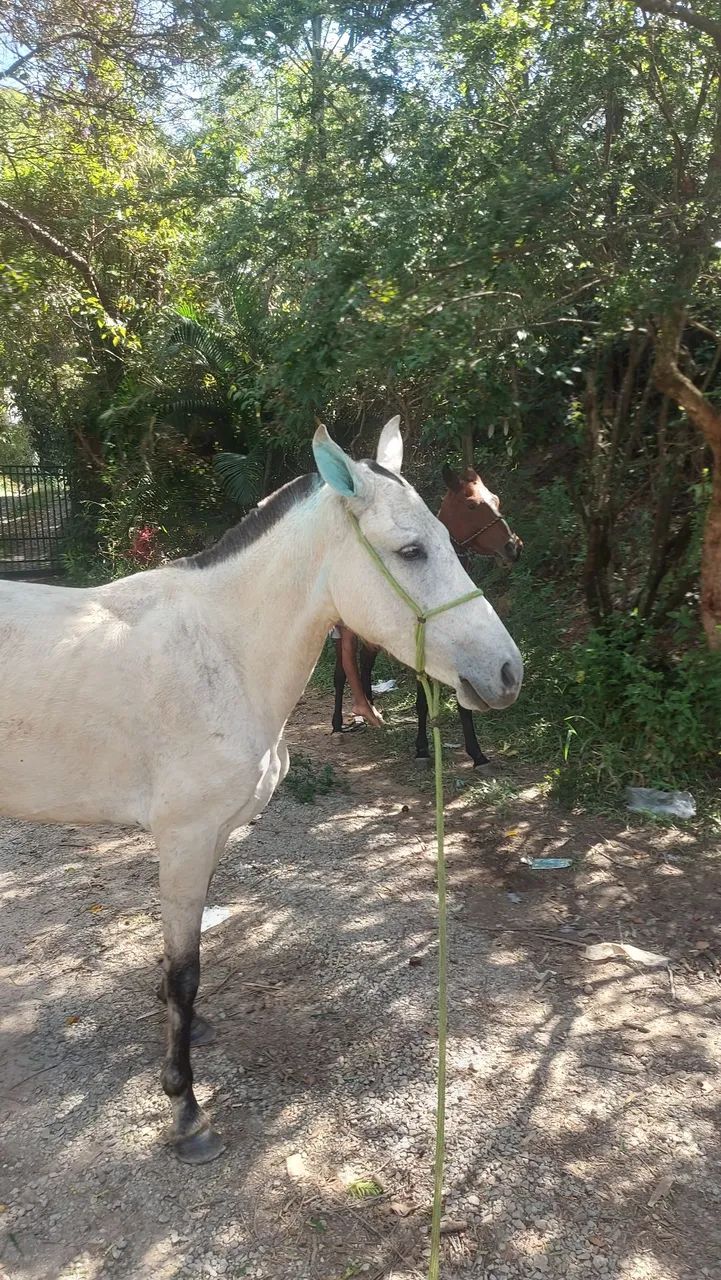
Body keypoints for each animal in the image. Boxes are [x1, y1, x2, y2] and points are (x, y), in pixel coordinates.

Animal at [331, 442, 522, 766]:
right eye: (472, 505)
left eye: (496, 499)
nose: (514, 547)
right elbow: (422, 701)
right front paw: (421, 747)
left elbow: (464, 701)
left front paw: (476, 751)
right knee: (341, 672)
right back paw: (337, 722)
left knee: (365, 663)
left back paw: (370, 707)